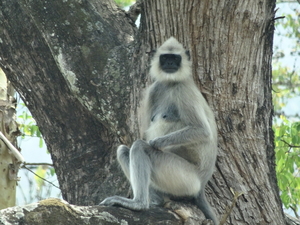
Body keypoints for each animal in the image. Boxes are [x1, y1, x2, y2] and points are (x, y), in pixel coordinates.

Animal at [101, 37, 218, 225]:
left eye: (175, 58)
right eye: (165, 58)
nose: (170, 63)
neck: (171, 83)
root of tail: (201, 185)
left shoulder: (183, 89)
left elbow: (202, 131)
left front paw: (155, 143)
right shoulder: (154, 89)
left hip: (185, 178)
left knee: (139, 147)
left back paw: (139, 204)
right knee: (124, 150)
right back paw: (153, 200)